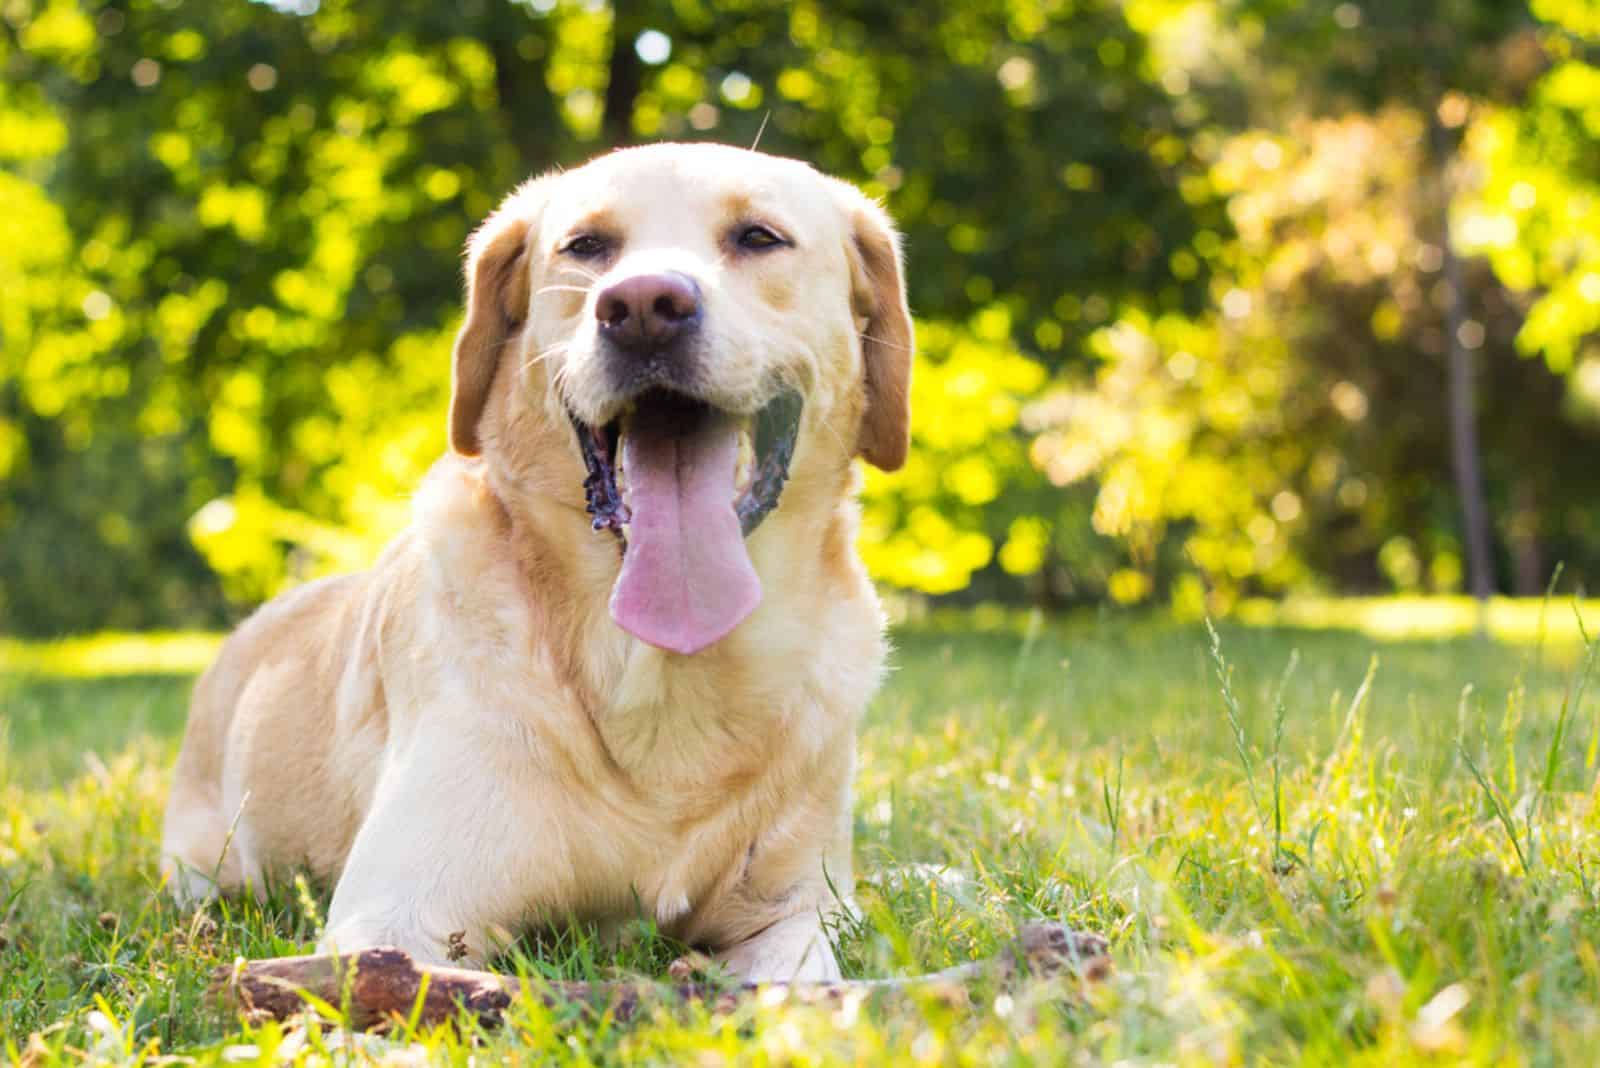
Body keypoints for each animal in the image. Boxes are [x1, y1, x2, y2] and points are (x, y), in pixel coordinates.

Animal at [165, 143, 915, 984]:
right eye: (586, 247)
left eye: (759, 237)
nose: (643, 307)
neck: (666, 670)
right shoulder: (394, 910)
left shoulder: (797, 907)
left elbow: (798, 973)